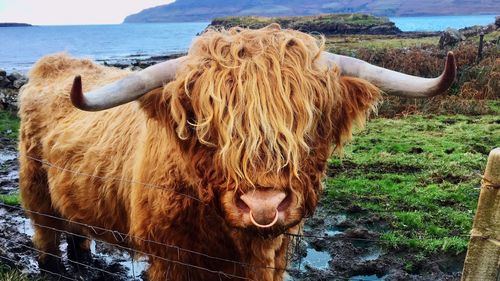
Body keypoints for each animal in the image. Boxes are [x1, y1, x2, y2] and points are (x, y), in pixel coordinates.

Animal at [19, 25, 456, 278]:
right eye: (203, 123)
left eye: (312, 119)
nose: (264, 205)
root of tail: (53, 64)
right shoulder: (171, 259)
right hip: (35, 185)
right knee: (46, 233)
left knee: (77, 227)